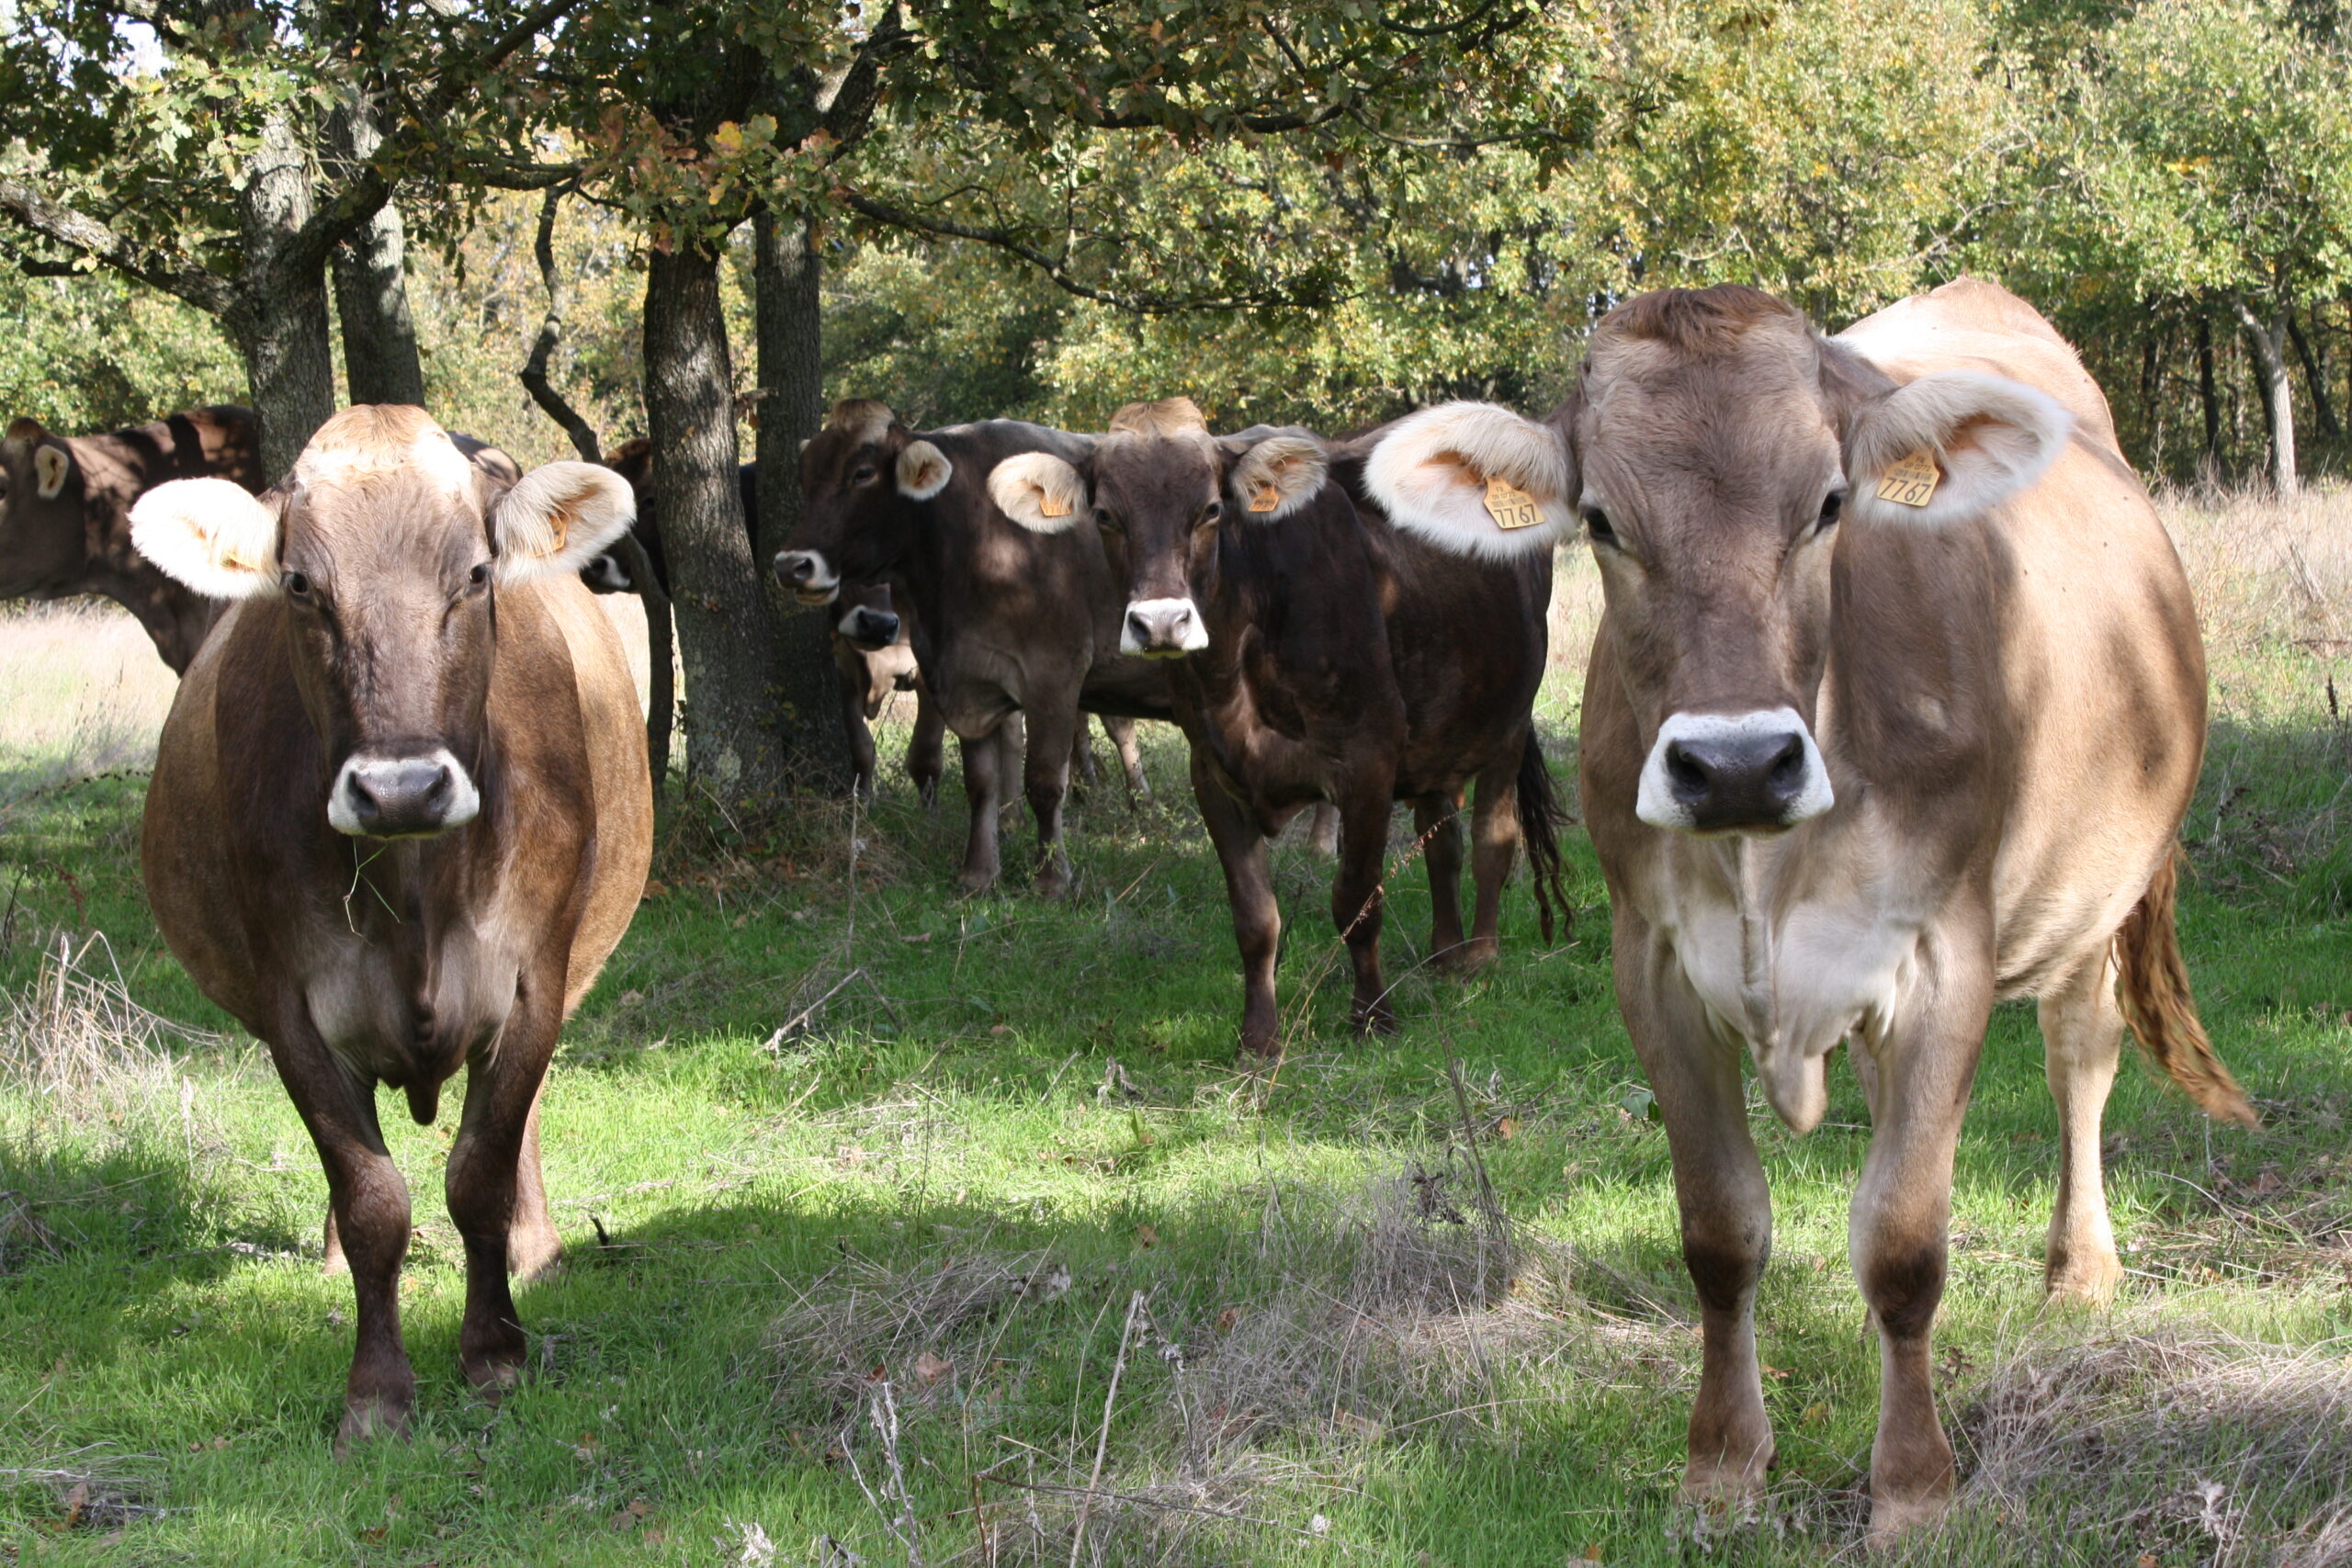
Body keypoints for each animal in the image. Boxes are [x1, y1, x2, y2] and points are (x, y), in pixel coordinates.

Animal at [130, 405, 653, 1450]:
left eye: (478, 574)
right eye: (300, 584)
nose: (400, 786)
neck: (417, 889)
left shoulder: (532, 981)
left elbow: (480, 1172)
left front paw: (494, 1355)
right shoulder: (290, 1009)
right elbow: (372, 1197)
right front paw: (375, 1393)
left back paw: (539, 1246)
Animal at [775, 401, 1168, 895]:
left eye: (862, 473)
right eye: (805, 477)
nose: (792, 565)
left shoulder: (1055, 672)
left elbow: (1044, 779)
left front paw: (1052, 878)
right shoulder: (965, 676)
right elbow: (980, 781)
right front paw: (979, 873)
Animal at [987, 398, 1567, 1056]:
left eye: (1211, 509)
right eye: (1106, 515)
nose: (1160, 622)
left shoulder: (1367, 763)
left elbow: (1356, 901)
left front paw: (1373, 1017)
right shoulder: (1213, 775)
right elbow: (1255, 918)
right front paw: (1258, 1039)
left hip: (1508, 722)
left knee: (1494, 838)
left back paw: (1479, 958)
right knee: (1442, 842)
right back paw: (1444, 955)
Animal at [1361, 280, 2254, 1538]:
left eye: (1830, 504)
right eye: (1601, 520)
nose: (1735, 765)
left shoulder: (1946, 955)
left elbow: (1904, 1242)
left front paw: (1914, 1487)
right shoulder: (1653, 968)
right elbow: (1721, 1233)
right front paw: (1722, 1466)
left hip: (2097, 892)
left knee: (2079, 1056)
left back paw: (2078, 1271)